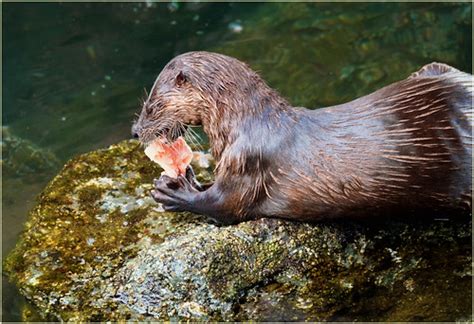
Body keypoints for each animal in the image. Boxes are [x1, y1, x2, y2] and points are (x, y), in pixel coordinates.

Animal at [131, 53, 472, 225]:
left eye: (151, 106)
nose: (135, 131)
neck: (246, 123)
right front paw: (185, 174)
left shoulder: (248, 163)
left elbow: (223, 206)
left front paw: (172, 191)